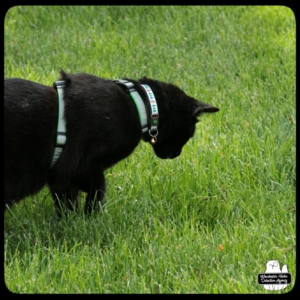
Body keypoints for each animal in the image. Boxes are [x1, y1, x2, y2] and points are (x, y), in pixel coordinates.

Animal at [3, 70, 219, 216]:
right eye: (189, 135)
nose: (176, 154)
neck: (139, 105)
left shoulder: (61, 177)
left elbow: (67, 202)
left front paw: (71, 221)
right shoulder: (82, 166)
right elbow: (97, 190)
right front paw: (90, 218)